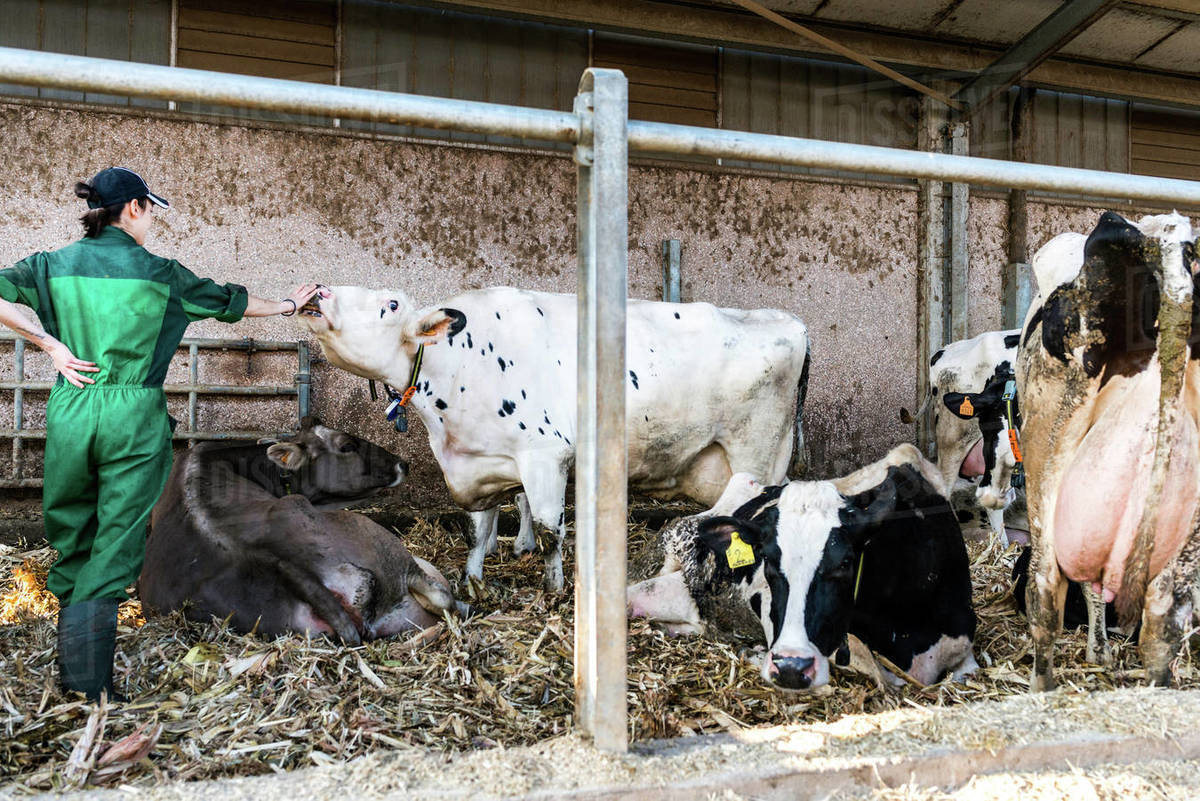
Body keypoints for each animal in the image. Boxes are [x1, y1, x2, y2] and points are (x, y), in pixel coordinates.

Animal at [296, 285, 811, 593]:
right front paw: (474, 580)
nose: (317, 292)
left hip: (758, 455)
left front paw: (555, 588)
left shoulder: (545, 456)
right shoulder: (478, 466)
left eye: (390, 305)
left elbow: (549, 533)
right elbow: (479, 531)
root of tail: (791, 322)